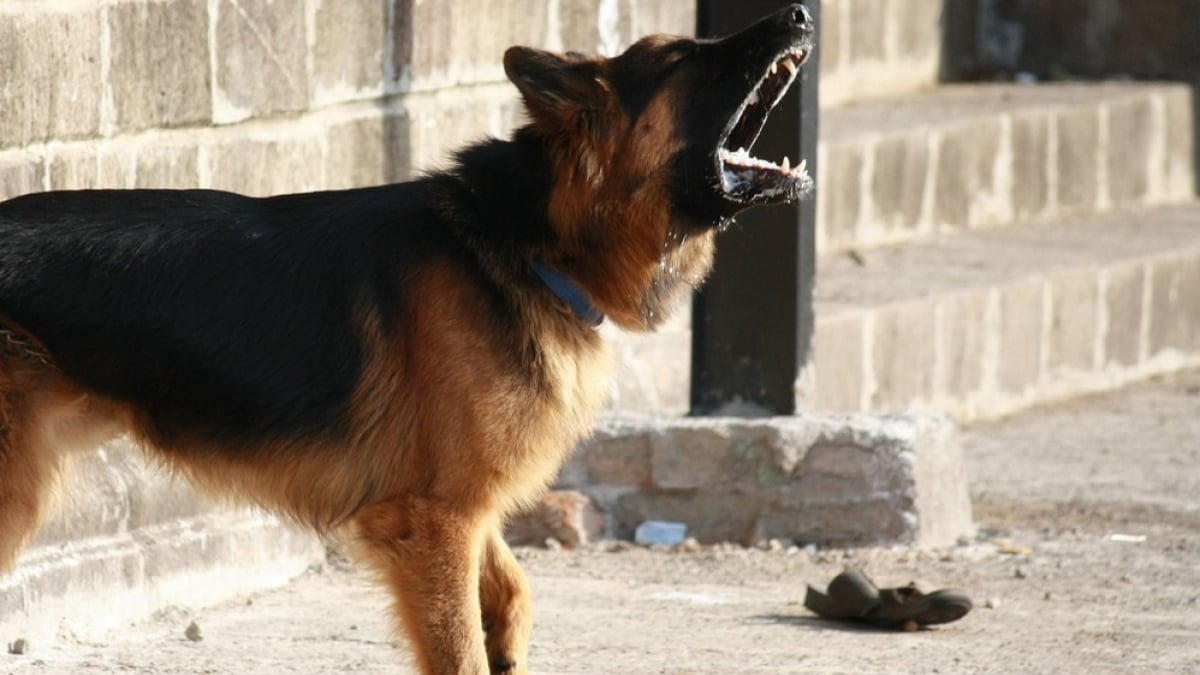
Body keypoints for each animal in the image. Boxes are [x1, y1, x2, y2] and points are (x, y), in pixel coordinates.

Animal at [0, 3, 816, 667]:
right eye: (683, 58)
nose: (802, 13)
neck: (525, 240)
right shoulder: (436, 520)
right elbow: (461, 647)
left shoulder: (460, 507)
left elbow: (511, 594)